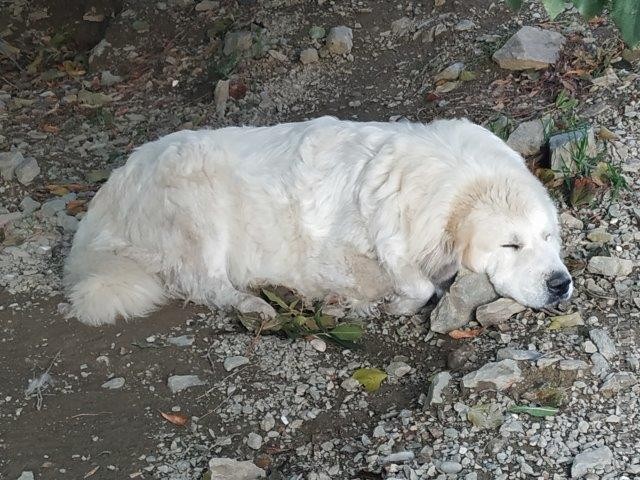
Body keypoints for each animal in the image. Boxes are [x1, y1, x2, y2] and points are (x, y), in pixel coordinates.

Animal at [65, 116, 572, 326]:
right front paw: (379, 303)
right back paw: (255, 303)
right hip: (199, 198)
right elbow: (415, 283)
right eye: (510, 245)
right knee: (203, 283)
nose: (560, 283)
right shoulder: (340, 252)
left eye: (548, 237)